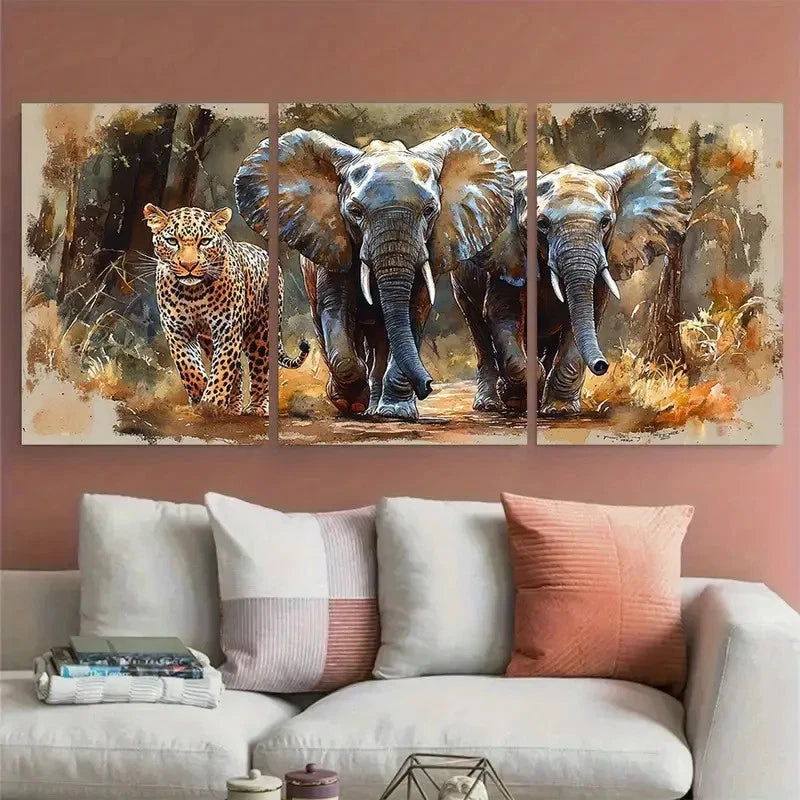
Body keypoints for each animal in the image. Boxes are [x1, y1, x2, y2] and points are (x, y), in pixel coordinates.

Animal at [143, 204, 309, 416]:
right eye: (172, 241)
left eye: (205, 241)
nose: (189, 265)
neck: (193, 292)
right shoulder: (176, 330)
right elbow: (189, 367)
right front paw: (201, 395)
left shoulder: (227, 329)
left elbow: (222, 367)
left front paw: (211, 402)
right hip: (209, 340)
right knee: (237, 369)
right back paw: (232, 407)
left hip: (260, 332)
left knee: (260, 369)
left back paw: (256, 407)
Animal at [234, 128, 514, 420]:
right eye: (355, 212)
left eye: (430, 211)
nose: (428, 384)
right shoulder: (332, 241)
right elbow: (336, 307)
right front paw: (350, 401)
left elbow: (413, 310)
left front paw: (396, 413)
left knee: (382, 337)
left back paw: (377, 407)